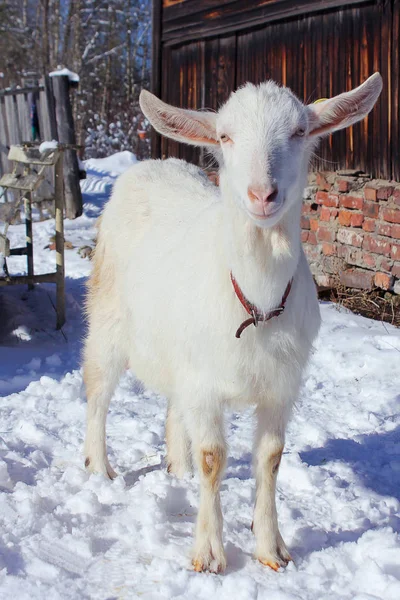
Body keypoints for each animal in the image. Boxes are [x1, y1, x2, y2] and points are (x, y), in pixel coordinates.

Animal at [83, 74, 382, 572]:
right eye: (224, 136)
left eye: (300, 131)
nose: (262, 195)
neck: (256, 302)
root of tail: (150, 166)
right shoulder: (204, 384)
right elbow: (213, 458)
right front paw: (208, 553)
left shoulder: (280, 386)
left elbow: (271, 457)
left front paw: (271, 549)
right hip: (107, 320)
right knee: (97, 393)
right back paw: (98, 468)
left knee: (173, 410)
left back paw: (177, 470)